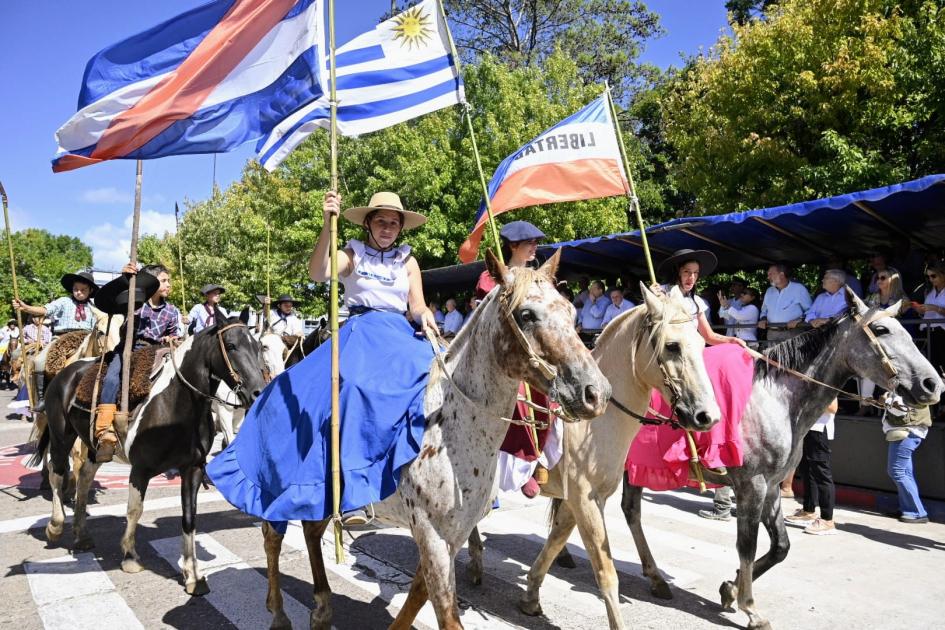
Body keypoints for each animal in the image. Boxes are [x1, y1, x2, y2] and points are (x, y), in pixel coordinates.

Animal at [262, 249, 608, 628]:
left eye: (571, 312)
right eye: (526, 315)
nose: (595, 392)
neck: (449, 429)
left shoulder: (450, 536)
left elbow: (417, 595)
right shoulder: (432, 535)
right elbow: (445, 611)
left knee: (310, 532)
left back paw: (322, 608)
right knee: (272, 537)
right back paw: (278, 612)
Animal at [624, 288, 940, 628]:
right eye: (881, 330)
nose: (933, 384)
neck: (777, 401)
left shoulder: (772, 487)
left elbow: (780, 548)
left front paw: (731, 588)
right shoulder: (752, 486)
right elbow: (747, 546)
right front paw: (750, 607)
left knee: (630, 512)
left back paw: (655, 578)